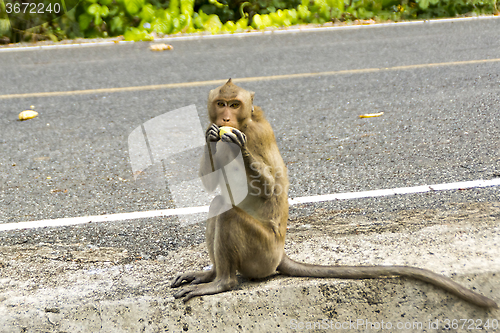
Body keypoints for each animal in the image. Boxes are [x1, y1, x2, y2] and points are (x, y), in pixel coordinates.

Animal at [171, 79, 496, 308]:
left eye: (234, 104)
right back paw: (212, 274)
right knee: (218, 202)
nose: (225, 119)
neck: (246, 121)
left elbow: (272, 186)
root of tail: (280, 255)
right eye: (221, 103)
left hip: (261, 254)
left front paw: (241, 148)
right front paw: (209, 135)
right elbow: (210, 183)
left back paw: (223, 282)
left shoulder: (257, 135)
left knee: (225, 211)